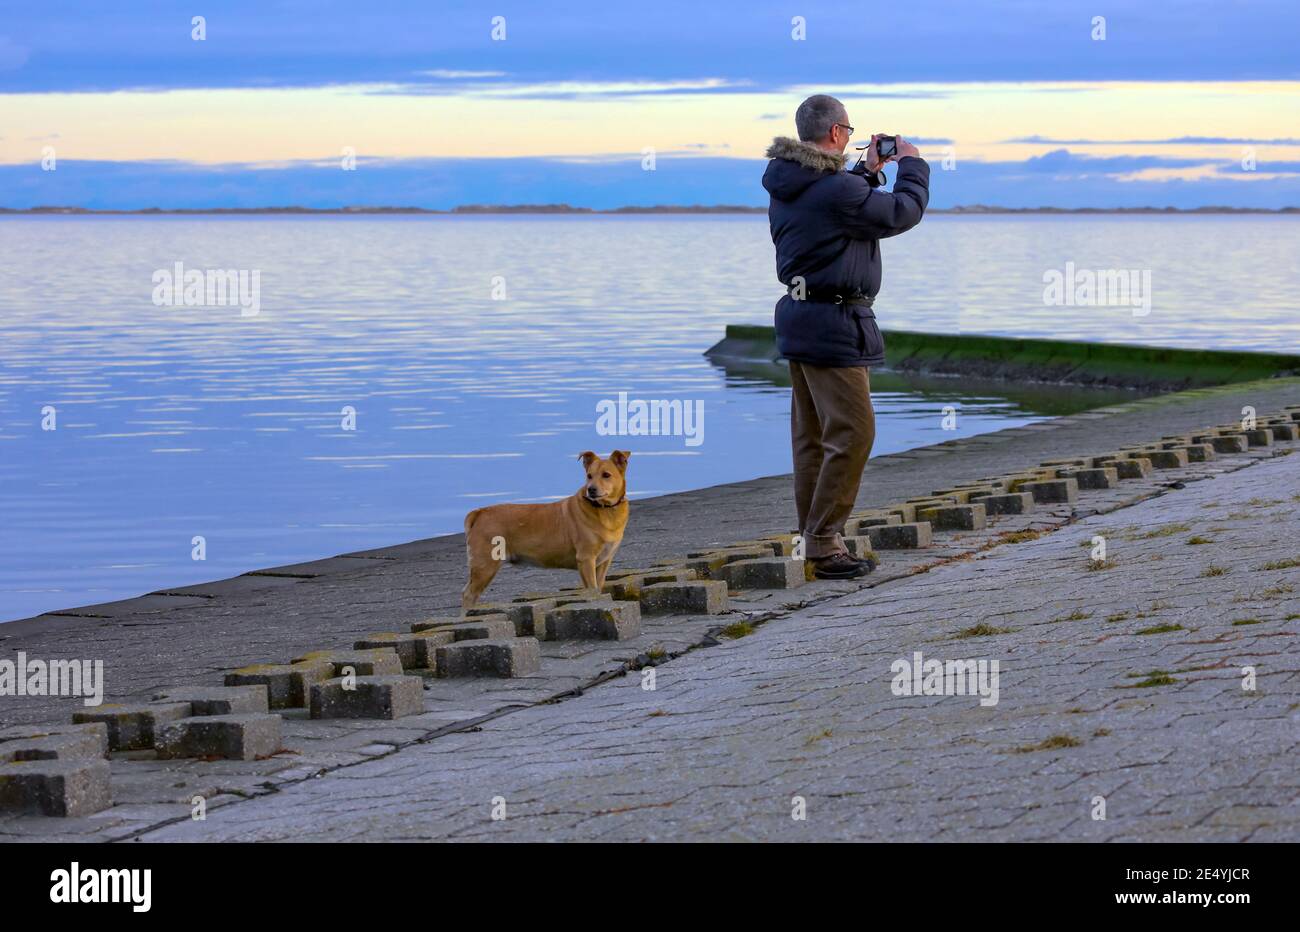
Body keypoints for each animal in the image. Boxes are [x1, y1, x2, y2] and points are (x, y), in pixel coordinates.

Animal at [465, 452, 631, 610]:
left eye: (606, 475)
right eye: (589, 476)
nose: (591, 489)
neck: (604, 510)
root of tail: (480, 512)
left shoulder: (604, 561)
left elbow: (599, 586)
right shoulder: (586, 559)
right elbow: (592, 589)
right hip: (485, 566)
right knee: (468, 595)